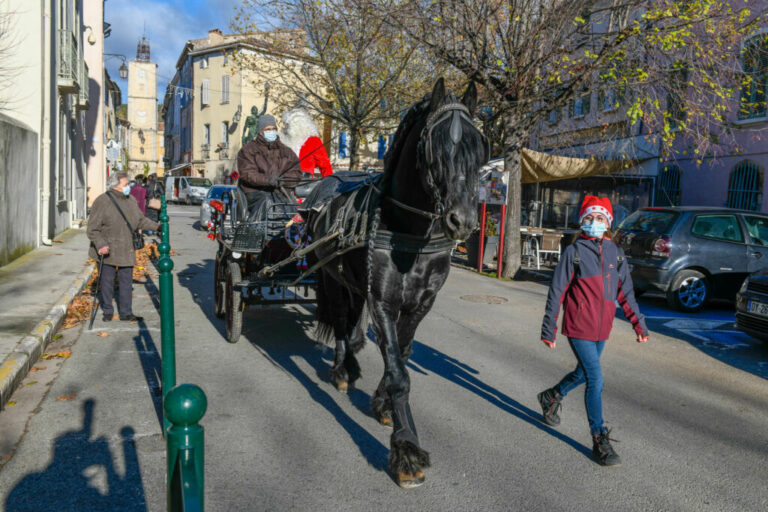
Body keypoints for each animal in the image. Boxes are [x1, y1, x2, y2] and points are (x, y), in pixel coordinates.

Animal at [306, 78, 486, 486]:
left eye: (479, 149)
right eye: (435, 145)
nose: (463, 221)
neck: (410, 231)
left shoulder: (420, 304)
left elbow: (400, 356)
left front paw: (383, 404)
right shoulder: (383, 301)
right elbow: (399, 373)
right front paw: (406, 449)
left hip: (355, 283)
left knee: (351, 326)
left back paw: (352, 365)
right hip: (333, 279)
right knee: (340, 321)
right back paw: (341, 370)